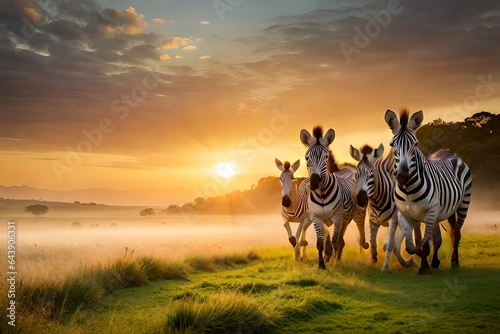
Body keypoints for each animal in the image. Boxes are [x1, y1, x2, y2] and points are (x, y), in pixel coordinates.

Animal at [298, 125, 370, 268]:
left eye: (326, 157)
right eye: (307, 158)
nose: (315, 182)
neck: (322, 194)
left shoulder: (337, 218)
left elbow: (334, 240)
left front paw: (332, 261)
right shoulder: (316, 217)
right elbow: (321, 243)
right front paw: (321, 264)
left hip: (355, 215)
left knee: (348, 237)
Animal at [350, 144, 412, 272]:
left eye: (372, 174)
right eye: (356, 174)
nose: (361, 200)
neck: (378, 200)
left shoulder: (394, 219)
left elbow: (391, 243)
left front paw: (385, 267)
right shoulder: (372, 220)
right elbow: (373, 242)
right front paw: (373, 260)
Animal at [382, 109, 472, 274]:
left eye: (415, 144)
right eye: (392, 144)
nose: (403, 176)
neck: (408, 190)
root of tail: (449, 152)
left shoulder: (430, 212)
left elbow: (425, 241)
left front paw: (424, 266)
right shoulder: (407, 214)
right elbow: (412, 244)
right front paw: (422, 259)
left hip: (464, 204)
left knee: (456, 233)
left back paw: (454, 261)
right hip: (448, 210)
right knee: (449, 233)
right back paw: (437, 262)